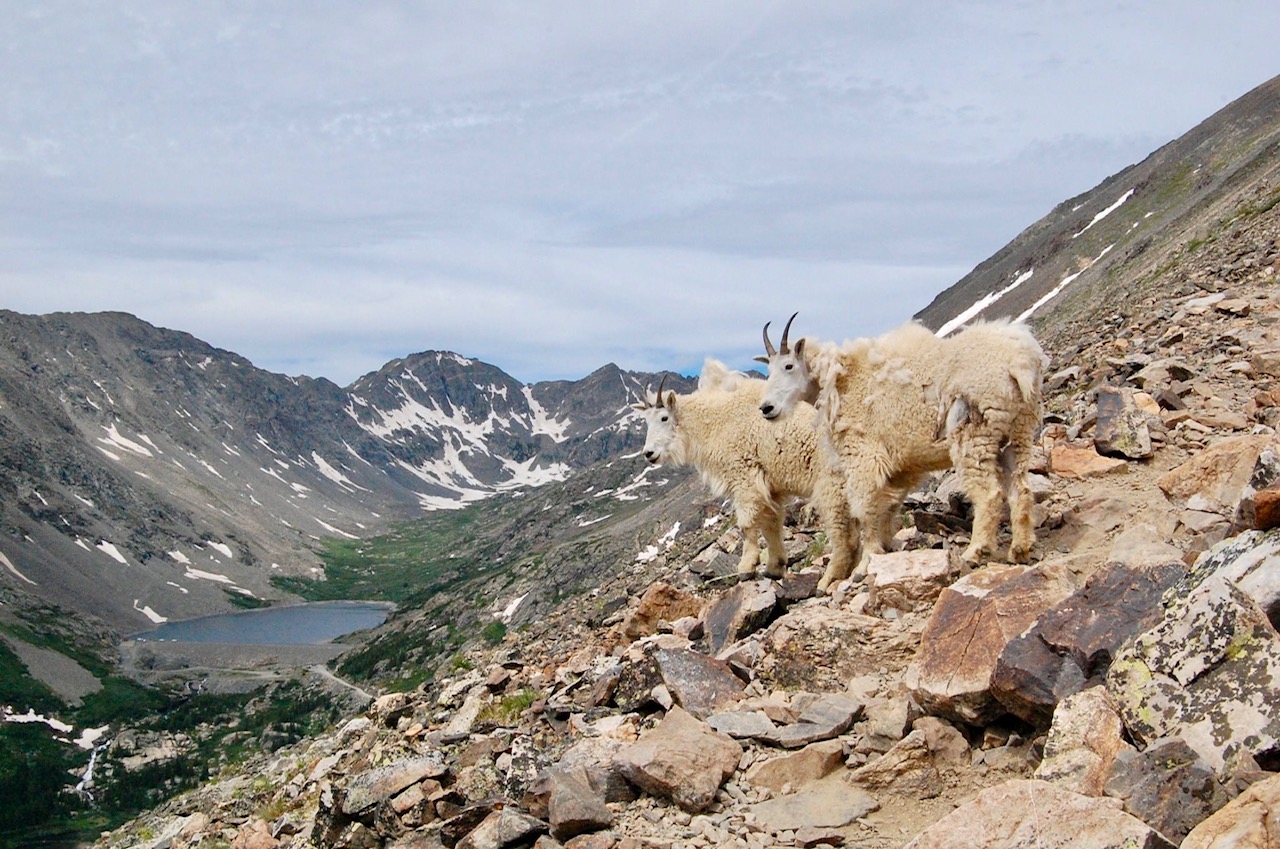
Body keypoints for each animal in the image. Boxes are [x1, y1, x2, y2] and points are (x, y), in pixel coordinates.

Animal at [627, 358, 855, 583]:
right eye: (647, 421)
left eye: (664, 418)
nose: (649, 453)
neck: (715, 422)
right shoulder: (769, 487)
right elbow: (771, 524)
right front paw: (774, 566)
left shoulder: (743, 477)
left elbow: (746, 524)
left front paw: (746, 567)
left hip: (830, 485)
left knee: (841, 530)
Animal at [752, 313, 1044, 583]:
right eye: (769, 371)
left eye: (789, 365)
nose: (766, 408)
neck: (838, 381)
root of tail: (1021, 359)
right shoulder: (897, 468)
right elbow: (886, 510)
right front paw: (883, 550)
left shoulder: (864, 457)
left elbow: (865, 510)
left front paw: (864, 564)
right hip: (1017, 432)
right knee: (1020, 488)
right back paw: (1020, 549)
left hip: (975, 432)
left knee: (989, 493)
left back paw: (976, 551)